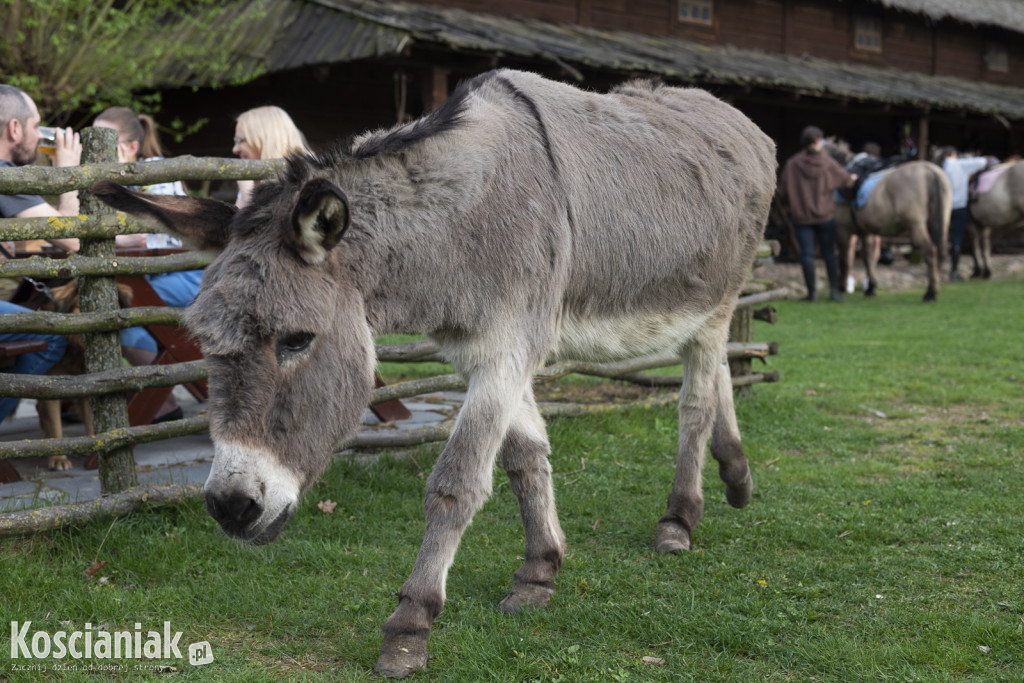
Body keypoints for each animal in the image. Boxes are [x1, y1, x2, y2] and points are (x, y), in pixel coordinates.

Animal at [831, 144, 950, 301]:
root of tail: (929, 170)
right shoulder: (866, 231)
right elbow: (868, 258)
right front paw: (871, 288)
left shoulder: (843, 229)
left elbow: (844, 260)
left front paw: (841, 288)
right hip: (942, 222)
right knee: (942, 252)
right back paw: (935, 287)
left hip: (916, 225)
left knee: (930, 251)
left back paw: (930, 293)